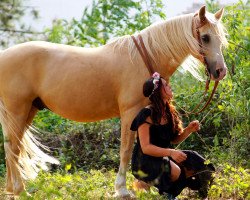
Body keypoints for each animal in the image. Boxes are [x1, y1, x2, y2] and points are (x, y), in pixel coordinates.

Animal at [0, 5, 227, 197]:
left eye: (221, 39)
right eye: (205, 37)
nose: (220, 71)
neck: (145, 57)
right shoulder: (130, 114)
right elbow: (125, 151)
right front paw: (122, 190)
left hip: (28, 110)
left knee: (13, 147)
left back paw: (12, 189)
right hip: (17, 110)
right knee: (12, 149)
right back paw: (21, 191)